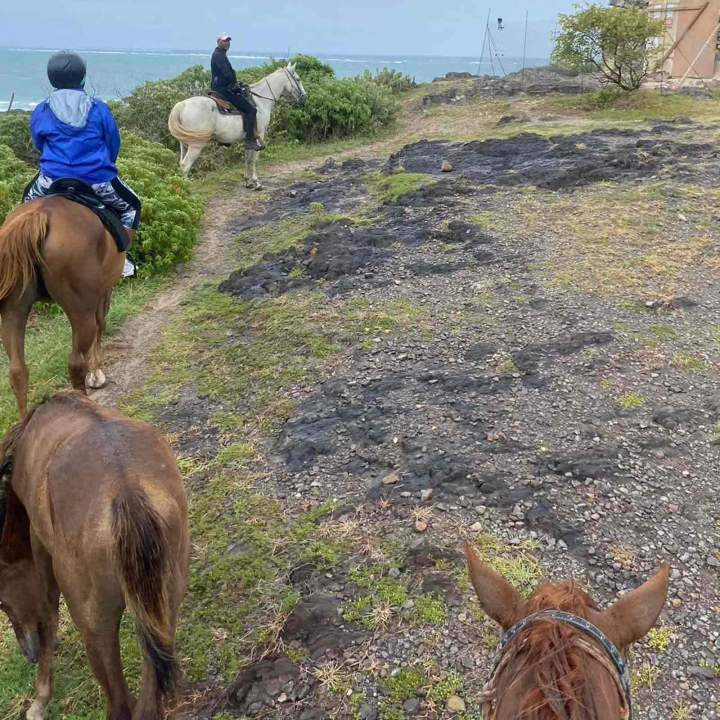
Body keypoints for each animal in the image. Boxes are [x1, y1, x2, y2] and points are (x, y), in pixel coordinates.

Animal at [0, 198, 126, 417]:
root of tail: (39, 215)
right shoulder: (104, 289)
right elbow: (101, 325)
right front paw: (96, 374)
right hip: (80, 311)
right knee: (76, 363)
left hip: (13, 310)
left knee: (17, 371)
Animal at [0, 391, 189, 720]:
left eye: (0, 601)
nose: (29, 652)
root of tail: (127, 493)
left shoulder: (40, 549)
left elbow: (48, 613)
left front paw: (40, 699)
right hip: (163, 609)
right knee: (147, 704)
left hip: (95, 626)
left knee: (121, 703)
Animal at [168, 62, 307, 188]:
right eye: (298, 79)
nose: (304, 97)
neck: (260, 101)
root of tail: (182, 105)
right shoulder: (260, 135)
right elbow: (254, 158)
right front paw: (256, 182)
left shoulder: (249, 139)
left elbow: (247, 158)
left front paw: (247, 181)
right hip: (196, 145)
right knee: (185, 166)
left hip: (184, 143)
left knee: (181, 164)